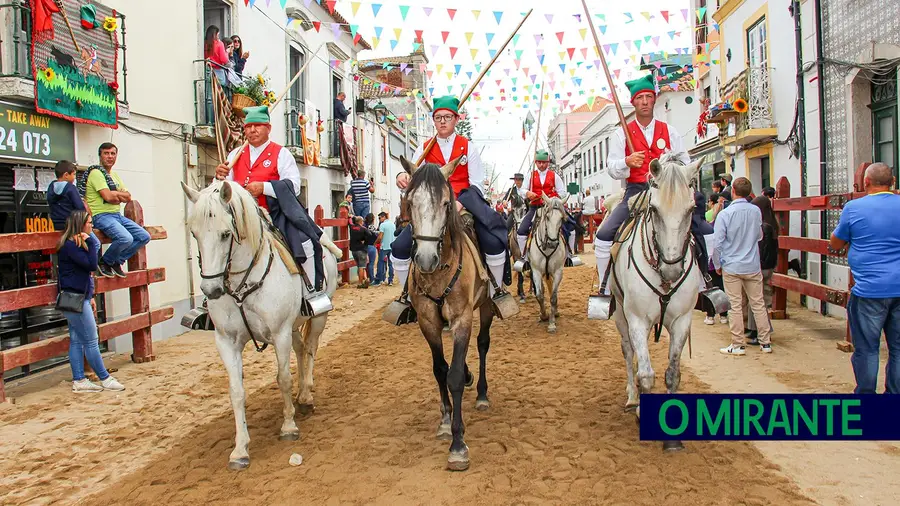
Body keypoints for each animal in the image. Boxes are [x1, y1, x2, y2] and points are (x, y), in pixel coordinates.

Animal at [181, 179, 340, 470]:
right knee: (301, 350)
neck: (242, 283)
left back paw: (306, 396)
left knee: (310, 348)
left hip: (317, 317)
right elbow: (236, 392)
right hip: (293, 326)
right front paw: (240, 449)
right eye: (194, 234)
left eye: (225, 234)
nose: (211, 290)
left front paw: (288, 426)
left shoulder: (279, 333)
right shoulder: (227, 341)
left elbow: (283, 378)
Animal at [524, 196, 568, 334]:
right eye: (547, 217)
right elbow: (539, 295)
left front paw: (552, 323)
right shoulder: (536, 271)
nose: (552, 243)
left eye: (561, 218)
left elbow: (553, 297)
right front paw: (543, 315)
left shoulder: (558, 271)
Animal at [612, 154, 704, 450]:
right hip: (620, 315)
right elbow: (646, 374)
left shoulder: (682, 321)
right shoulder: (637, 320)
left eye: (691, 209)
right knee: (628, 353)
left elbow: (672, 373)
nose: (672, 269)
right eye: (654, 209)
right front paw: (642, 410)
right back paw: (632, 397)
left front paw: (672, 440)